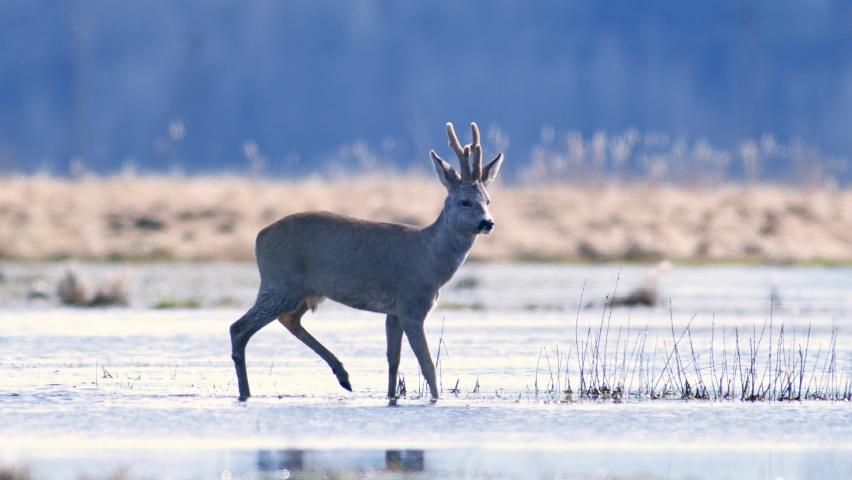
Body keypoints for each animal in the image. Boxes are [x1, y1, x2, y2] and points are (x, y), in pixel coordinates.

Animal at [229, 122, 504, 402]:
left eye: (488, 200)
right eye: (465, 201)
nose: (487, 222)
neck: (429, 259)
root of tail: (258, 238)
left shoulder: (394, 311)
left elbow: (393, 360)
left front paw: (392, 397)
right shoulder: (412, 303)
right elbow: (427, 364)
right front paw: (436, 399)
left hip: (305, 292)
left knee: (288, 320)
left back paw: (343, 376)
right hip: (280, 284)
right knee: (239, 327)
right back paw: (246, 392)